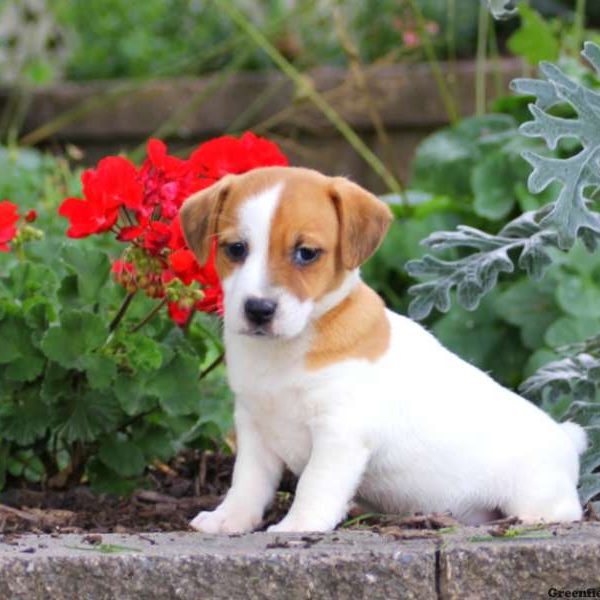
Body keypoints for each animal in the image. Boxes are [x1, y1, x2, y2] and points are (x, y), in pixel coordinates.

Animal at [180, 166, 588, 532]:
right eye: (236, 249)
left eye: (306, 253)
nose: (258, 309)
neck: (288, 350)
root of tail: (567, 439)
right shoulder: (253, 428)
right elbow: (247, 482)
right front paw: (228, 519)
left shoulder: (339, 434)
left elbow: (314, 484)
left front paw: (298, 525)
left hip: (536, 491)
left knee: (566, 511)